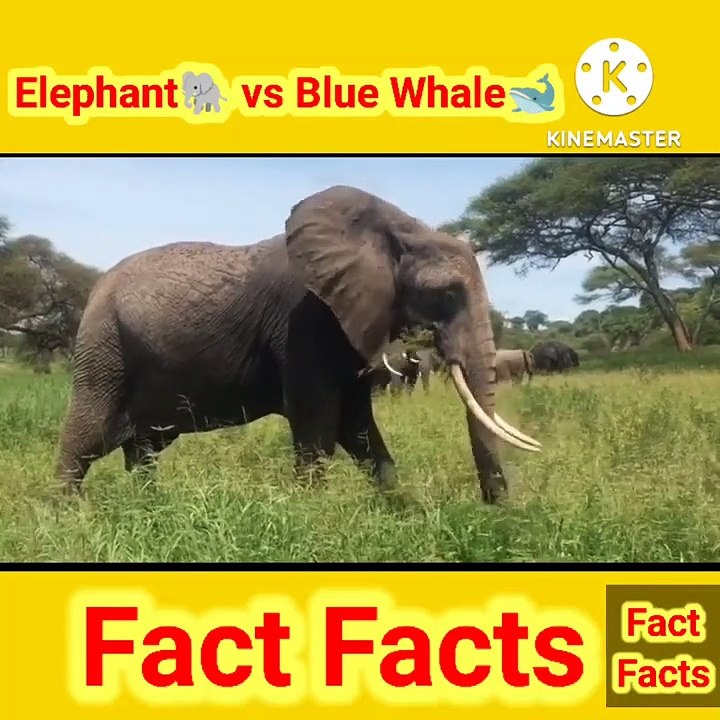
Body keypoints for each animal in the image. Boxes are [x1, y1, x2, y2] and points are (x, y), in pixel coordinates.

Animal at [54, 185, 541, 505]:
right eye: (446, 294)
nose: (494, 508)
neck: (397, 230)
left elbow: (357, 426)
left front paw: (402, 512)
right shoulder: (305, 321)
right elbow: (319, 424)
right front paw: (313, 518)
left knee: (142, 451)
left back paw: (152, 510)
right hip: (104, 349)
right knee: (86, 438)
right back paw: (70, 518)